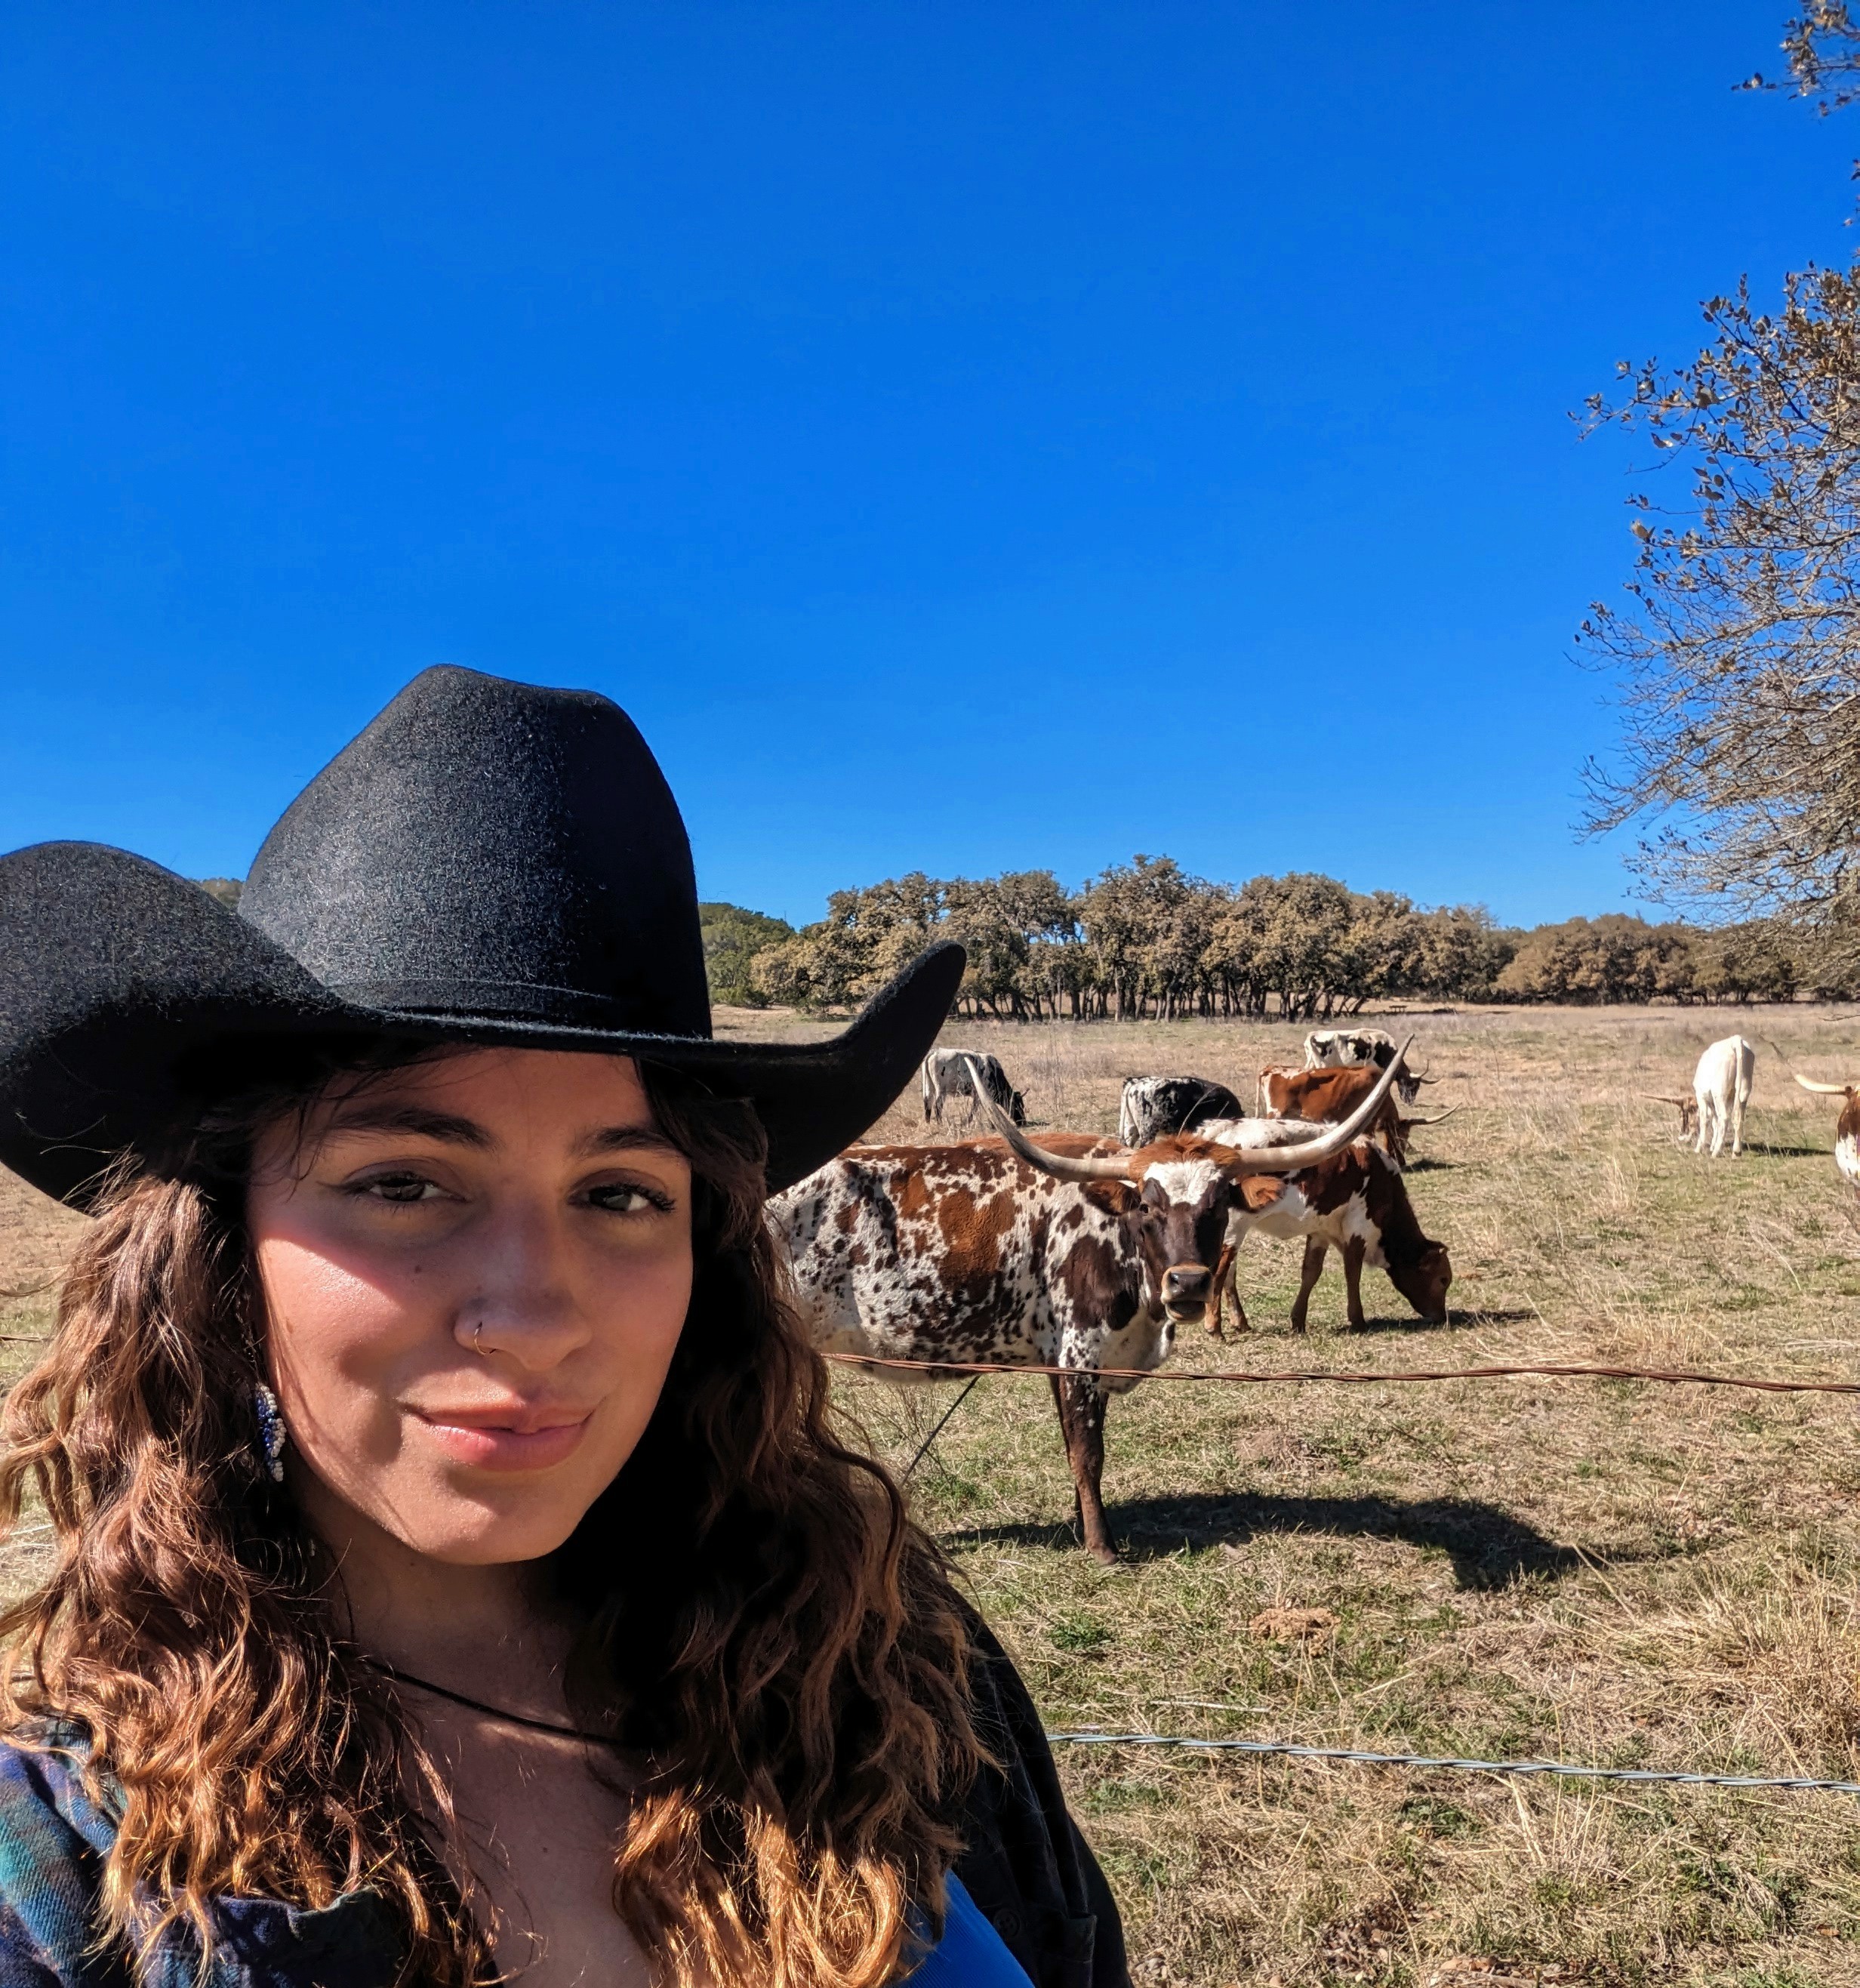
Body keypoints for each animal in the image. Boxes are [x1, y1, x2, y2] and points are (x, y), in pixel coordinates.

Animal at [920, 1047, 1026, 1127]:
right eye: (1017, 1107)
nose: (1023, 1122)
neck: (994, 1071)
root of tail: (935, 1051)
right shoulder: (980, 1096)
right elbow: (978, 1110)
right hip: (941, 1090)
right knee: (937, 1106)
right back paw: (940, 1124)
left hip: (929, 1086)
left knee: (928, 1103)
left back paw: (929, 1124)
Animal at [1196, 1118, 1454, 1337]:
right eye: (1443, 1279)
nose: (1442, 1317)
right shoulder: (1359, 1224)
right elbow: (1353, 1270)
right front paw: (1358, 1320)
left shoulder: (1321, 1230)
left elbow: (1311, 1272)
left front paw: (1298, 1321)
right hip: (1234, 1227)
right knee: (1219, 1272)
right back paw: (1214, 1327)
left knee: (1229, 1273)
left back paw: (1240, 1323)